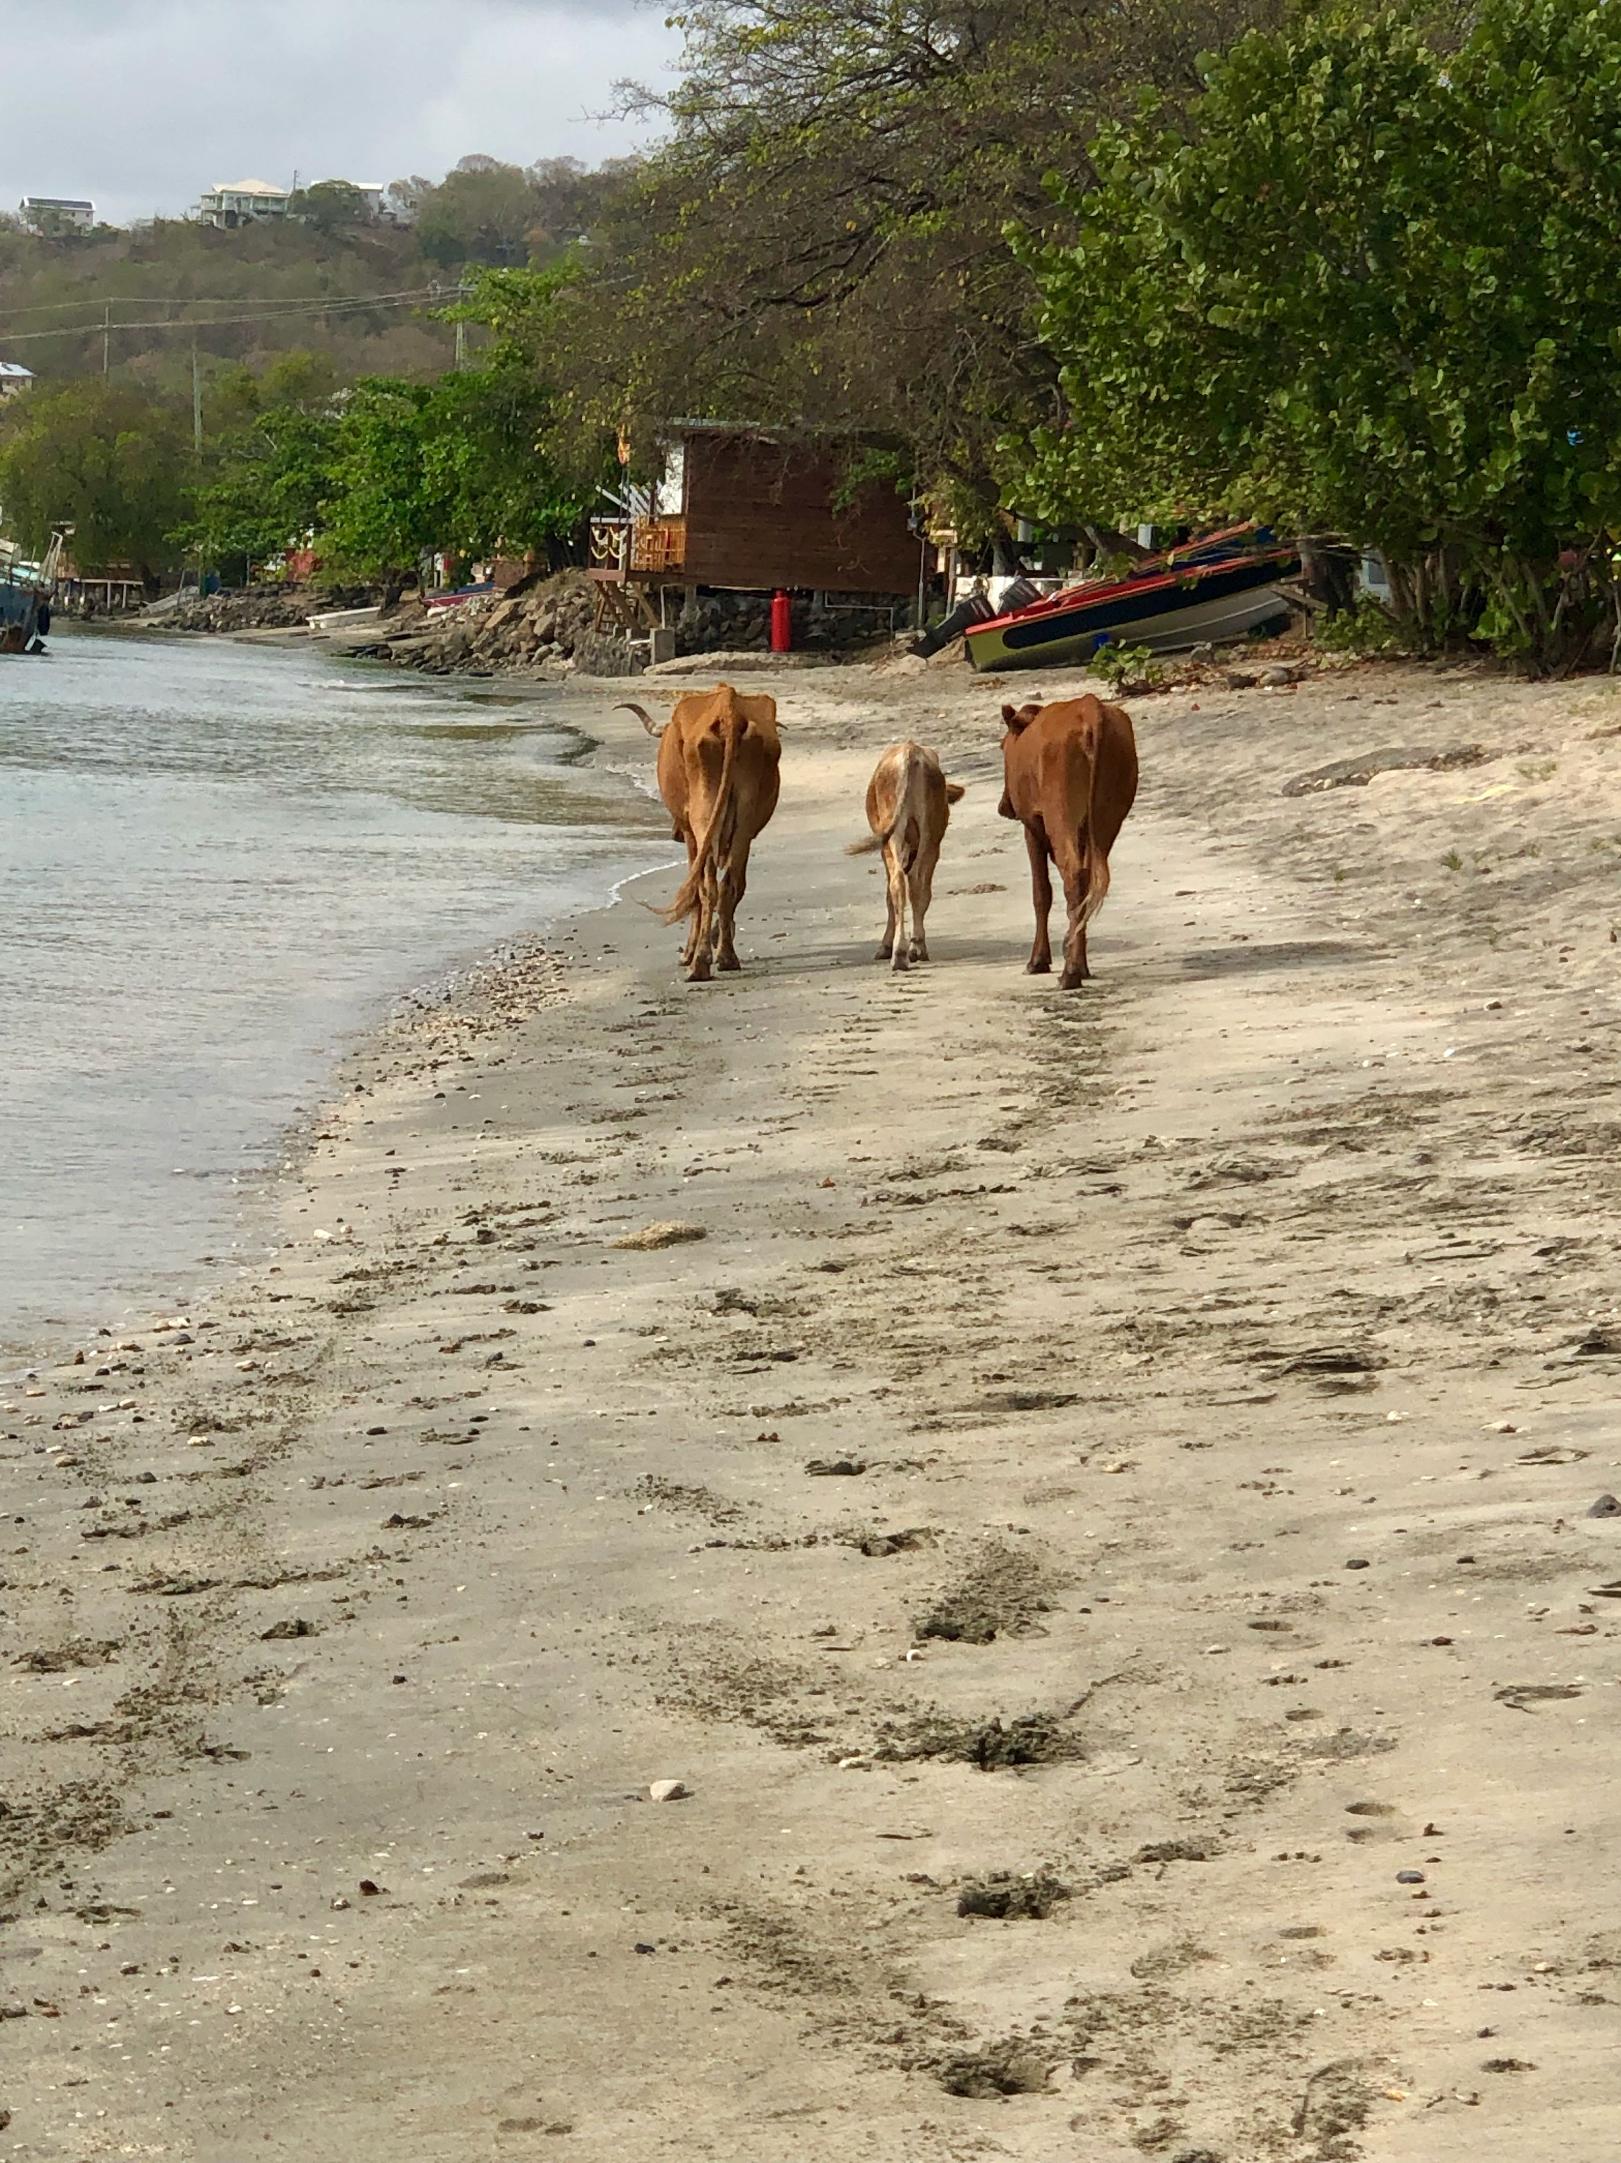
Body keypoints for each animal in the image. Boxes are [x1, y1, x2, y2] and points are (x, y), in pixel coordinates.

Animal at [614, 683, 779, 982]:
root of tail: (728, 708)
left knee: (706, 886)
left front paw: (689, 953)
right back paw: (726, 956)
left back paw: (699, 962)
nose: (674, 834)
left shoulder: (691, 835)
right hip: (744, 822)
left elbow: (695, 891)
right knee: (729, 886)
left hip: (702, 819)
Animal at [848, 744, 960, 982]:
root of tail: (911, 751)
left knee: (901, 884)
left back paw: (903, 952)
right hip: (931, 836)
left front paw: (885, 947)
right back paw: (913, 947)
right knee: (918, 885)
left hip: (896, 835)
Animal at [999, 696, 1134, 990]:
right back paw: (1079, 966)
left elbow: (1041, 893)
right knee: (1089, 880)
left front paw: (1038, 961)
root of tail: (1089, 706)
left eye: (1001, 747)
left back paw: (1070, 973)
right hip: (1107, 819)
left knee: (1073, 875)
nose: (1004, 806)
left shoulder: (1032, 826)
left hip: (1059, 816)